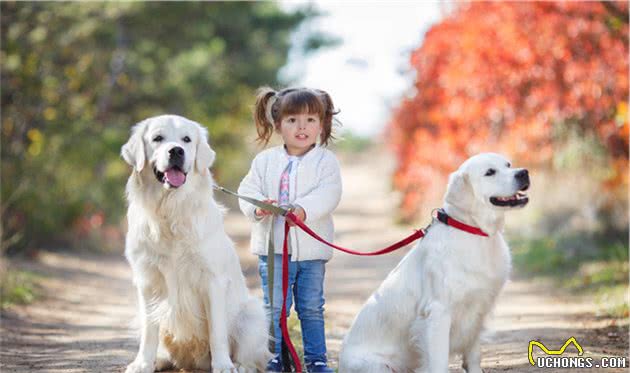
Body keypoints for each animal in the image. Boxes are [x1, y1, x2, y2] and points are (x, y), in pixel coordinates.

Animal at [122, 114, 270, 372]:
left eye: (186, 140)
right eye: (157, 138)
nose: (176, 151)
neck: (170, 210)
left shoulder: (213, 280)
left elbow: (216, 332)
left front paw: (222, 365)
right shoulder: (147, 280)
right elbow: (149, 330)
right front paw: (143, 363)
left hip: (253, 315)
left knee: (252, 358)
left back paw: (238, 365)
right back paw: (160, 360)